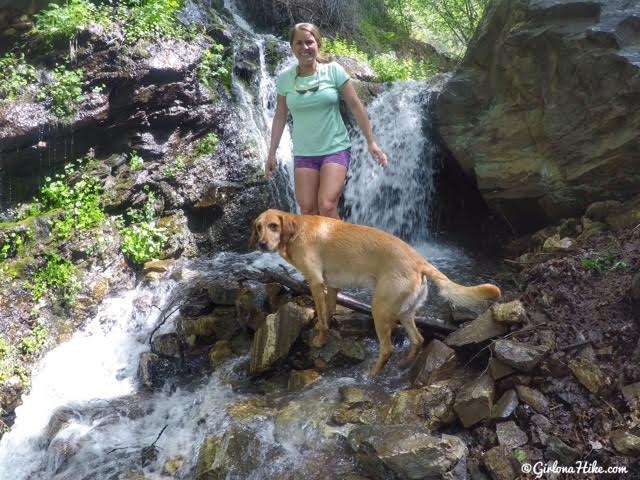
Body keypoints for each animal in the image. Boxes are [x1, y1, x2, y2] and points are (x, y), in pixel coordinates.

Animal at [250, 209, 500, 376]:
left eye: (274, 226)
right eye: (259, 227)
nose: (261, 244)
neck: (297, 231)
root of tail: (419, 261)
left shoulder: (315, 282)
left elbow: (321, 317)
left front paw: (320, 341)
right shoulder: (332, 286)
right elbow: (328, 313)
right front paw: (327, 329)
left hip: (379, 309)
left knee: (387, 348)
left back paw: (373, 374)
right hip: (405, 312)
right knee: (418, 339)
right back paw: (405, 365)